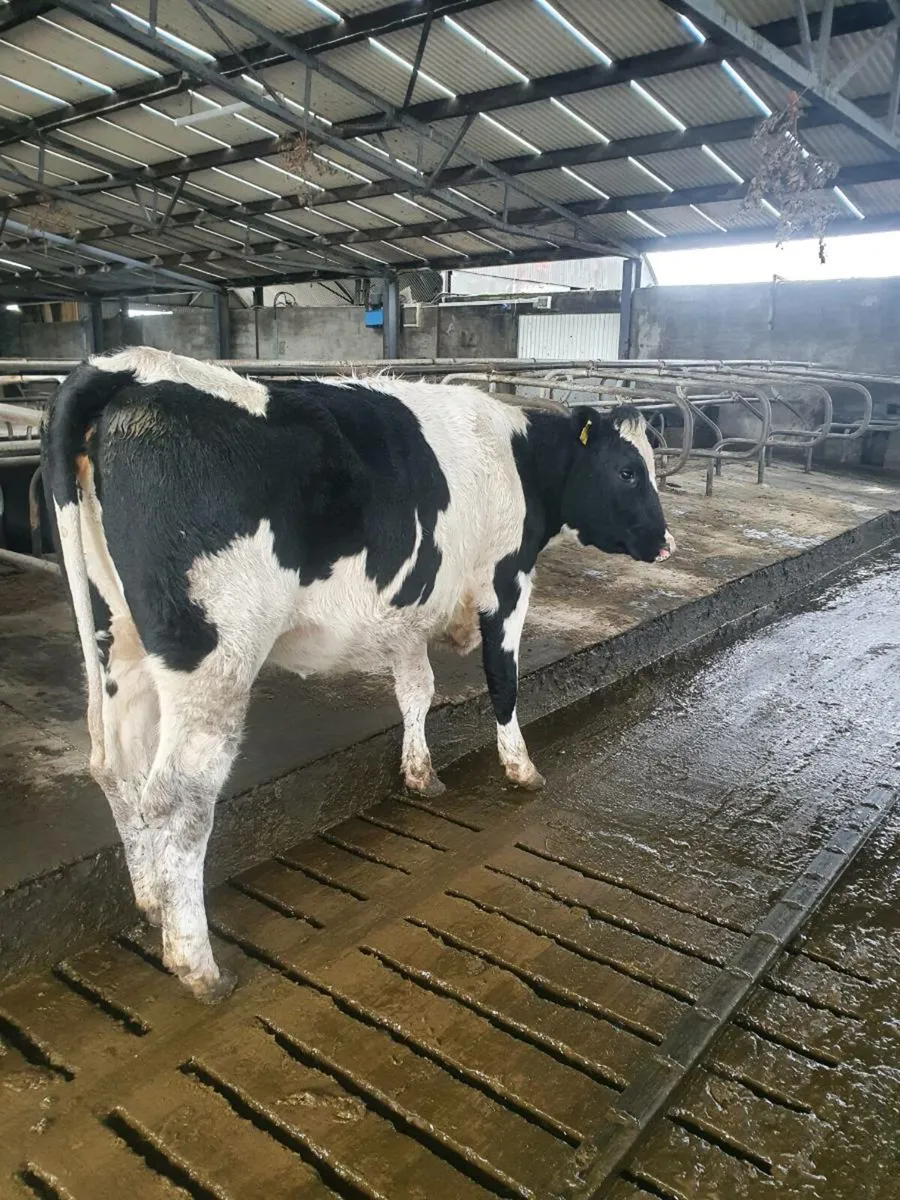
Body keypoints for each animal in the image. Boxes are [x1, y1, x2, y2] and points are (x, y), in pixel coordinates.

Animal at [43, 347, 674, 1002]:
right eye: (629, 471)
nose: (665, 542)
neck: (519, 455)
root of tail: (127, 366)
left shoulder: (406, 608)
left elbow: (417, 690)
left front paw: (420, 773)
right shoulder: (506, 582)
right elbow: (503, 683)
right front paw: (521, 769)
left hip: (118, 637)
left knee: (116, 768)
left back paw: (151, 901)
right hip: (212, 653)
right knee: (177, 796)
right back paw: (197, 963)